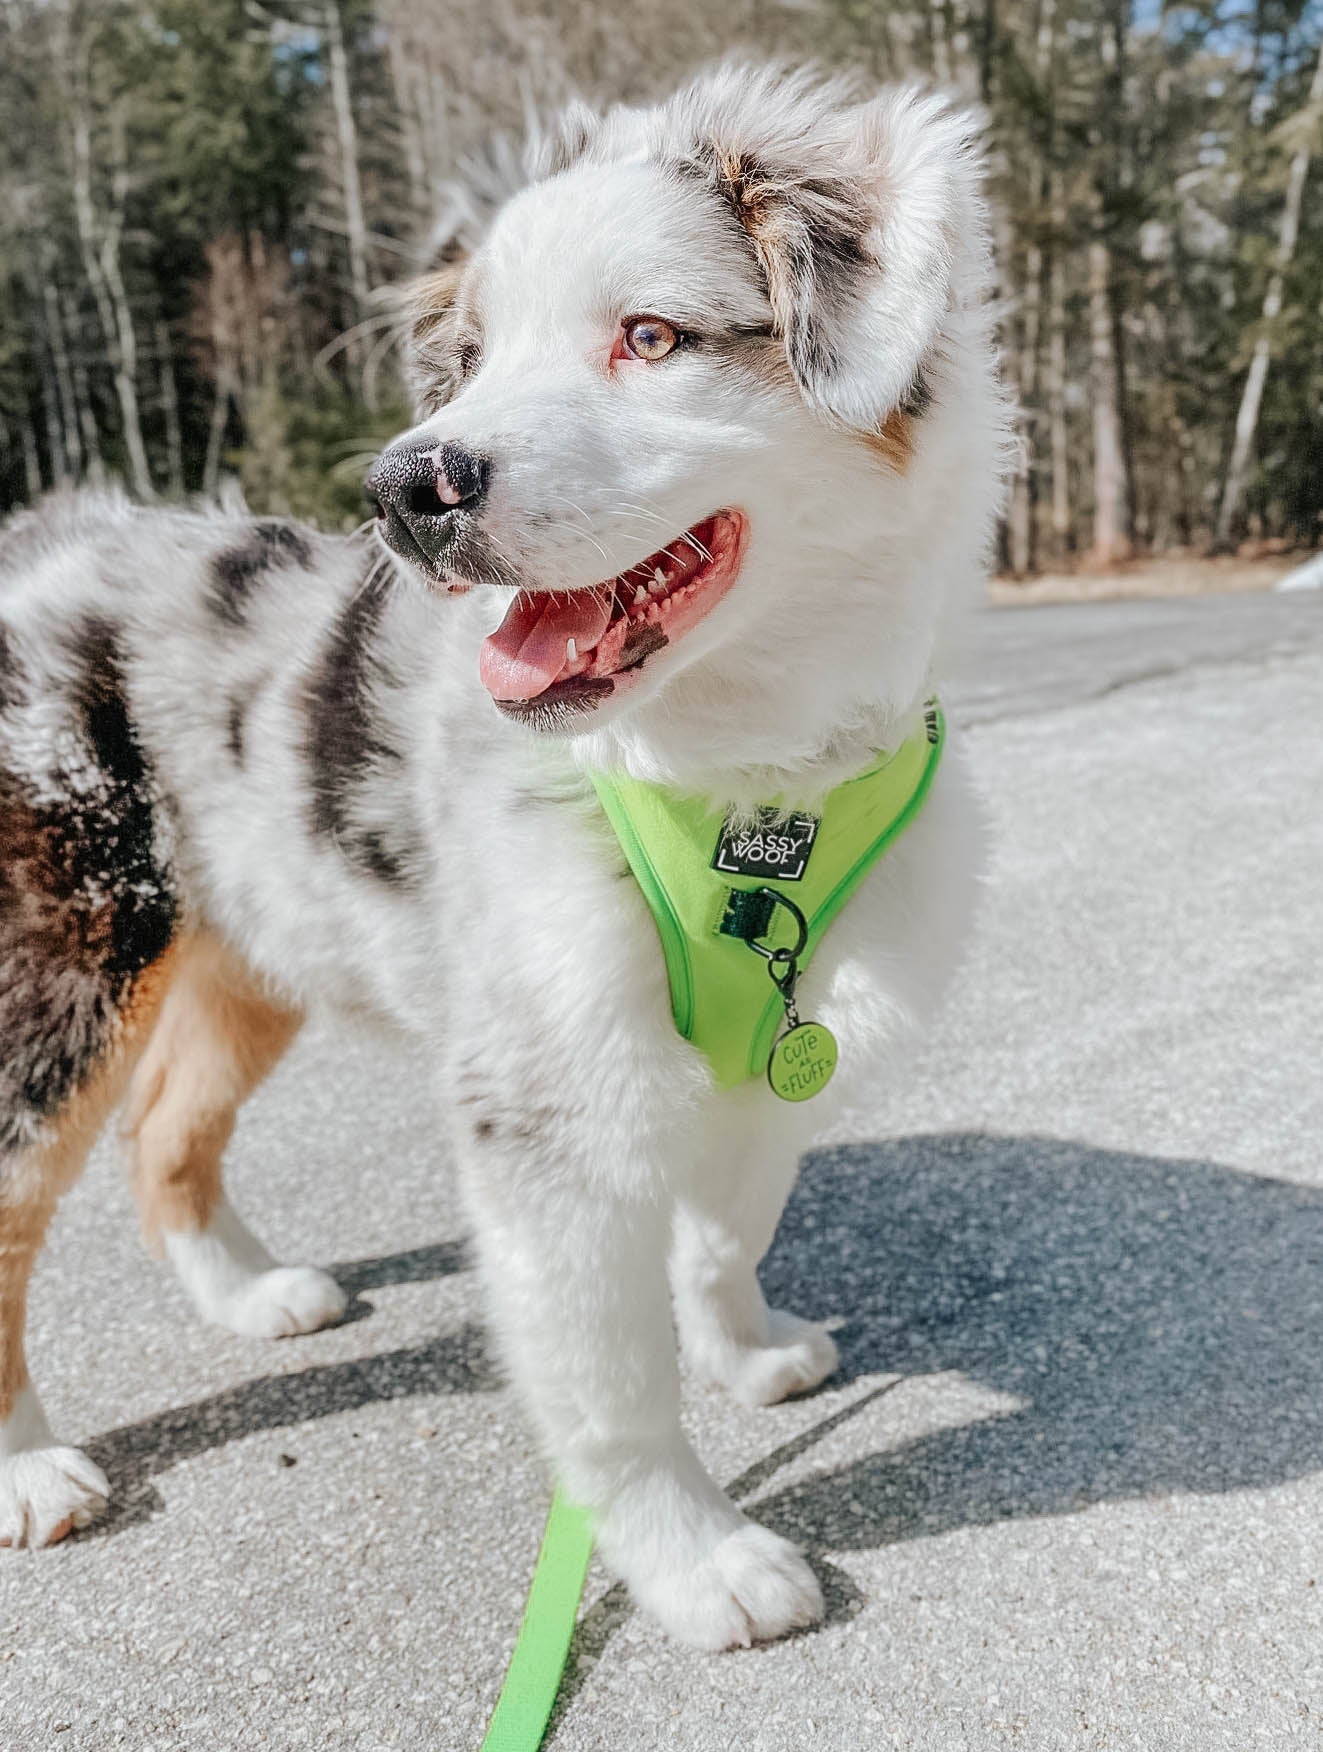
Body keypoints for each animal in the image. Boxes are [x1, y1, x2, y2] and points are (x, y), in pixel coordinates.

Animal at [0, 68, 1002, 1646]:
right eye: (466, 360)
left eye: (648, 336)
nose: (404, 488)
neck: (740, 786)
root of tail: (46, 528)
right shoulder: (547, 1098)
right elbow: (609, 1387)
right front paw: (698, 1559)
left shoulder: (787, 1045)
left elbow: (725, 1229)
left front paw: (748, 1352)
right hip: (67, 965)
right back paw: (33, 1471)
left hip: (254, 943)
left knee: (168, 1131)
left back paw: (253, 1299)